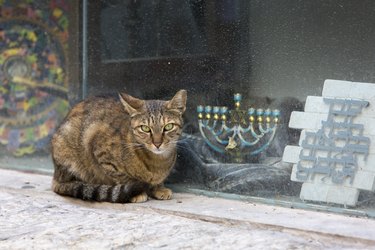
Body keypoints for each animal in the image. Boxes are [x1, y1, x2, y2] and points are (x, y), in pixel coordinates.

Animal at [52, 90, 187, 203]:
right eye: (145, 128)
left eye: (168, 126)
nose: (157, 143)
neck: (158, 162)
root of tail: (56, 176)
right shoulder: (99, 149)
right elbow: (123, 177)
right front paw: (137, 192)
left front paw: (159, 188)